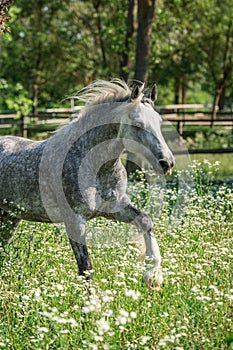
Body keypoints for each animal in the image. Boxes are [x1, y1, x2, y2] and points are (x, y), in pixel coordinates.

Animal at [0, 80, 175, 290]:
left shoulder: (115, 209)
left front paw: (153, 276)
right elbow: (86, 268)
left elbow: (146, 221)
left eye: (159, 122)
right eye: (138, 125)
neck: (94, 165)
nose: (167, 163)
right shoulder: (74, 220)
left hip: (10, 219)